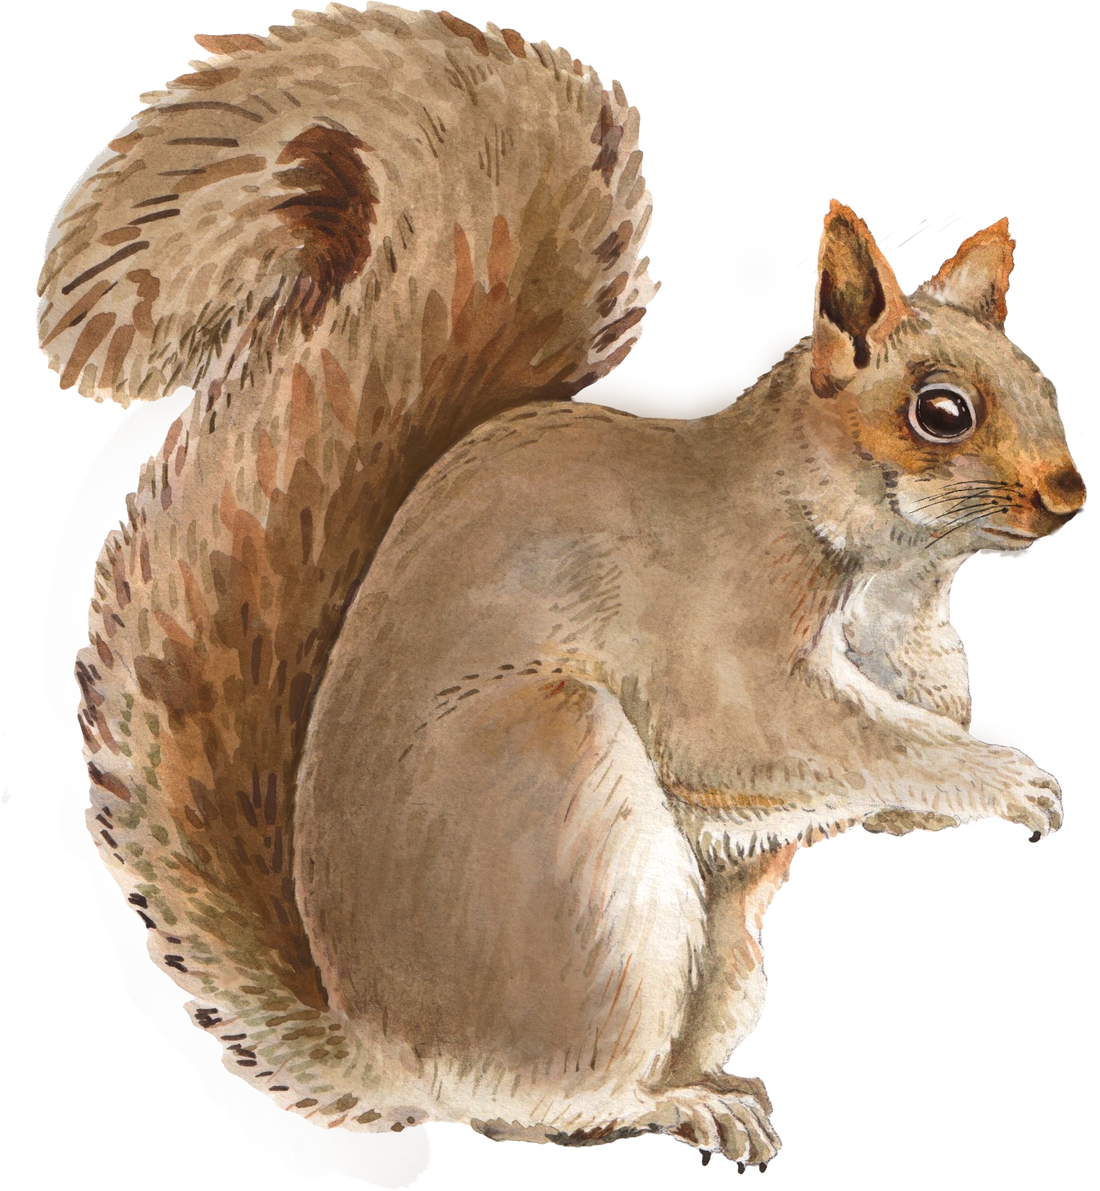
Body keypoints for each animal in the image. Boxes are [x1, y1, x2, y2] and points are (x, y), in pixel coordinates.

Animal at [33, 1, 1087, 1173]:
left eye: (1047, 387)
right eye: (940, 412)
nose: (1069, 496)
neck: (889, 573)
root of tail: (388, 1053)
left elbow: (895, 766)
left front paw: (991, 767)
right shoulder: (718, 636)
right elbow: (770, 730)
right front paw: (1009, 781)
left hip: (726, 949)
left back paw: (710, 1088)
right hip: (555, 800)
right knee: (553, 1101)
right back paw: (671, 1106)